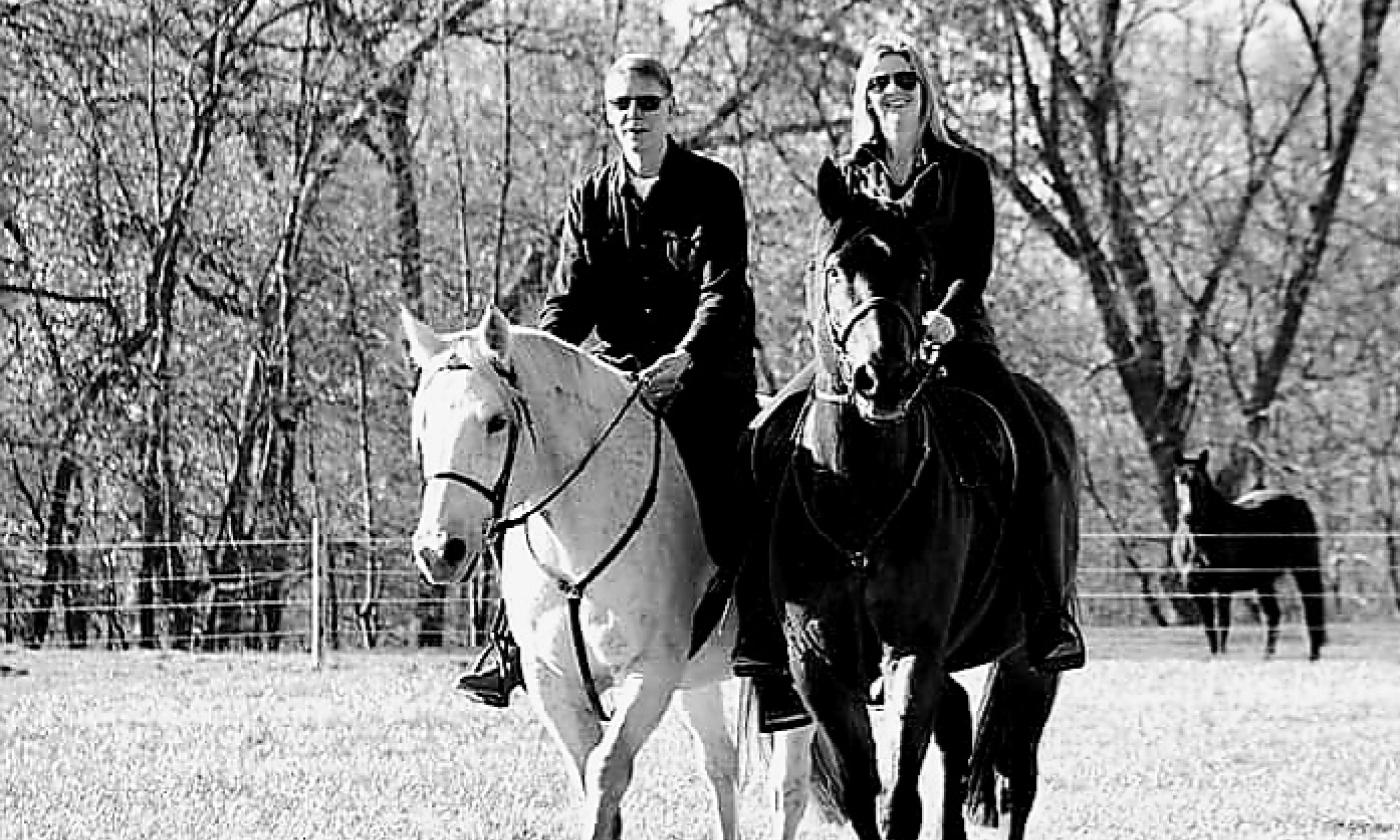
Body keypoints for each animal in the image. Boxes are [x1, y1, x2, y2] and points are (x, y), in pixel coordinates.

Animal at [402, 307, 813, 840]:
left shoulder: (649, 673)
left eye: (495, 422)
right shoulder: (553, 682)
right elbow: (594, 783)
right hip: (698, 682)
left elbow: (606, 772)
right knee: (721, 766)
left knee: (790, 788)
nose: (439, 551)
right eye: (423, 423)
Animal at [754, 158, 1079, 840]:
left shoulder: (914, 652)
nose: (885, 378)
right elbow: (863, 795)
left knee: (1020, 775)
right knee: (958, 727)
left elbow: (901, 801)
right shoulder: (820, 668)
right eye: (835, 269)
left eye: (921, 271)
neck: (861, 493)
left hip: (1030, 661)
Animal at [1170, 450, 1326, 660]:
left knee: (1311, 606)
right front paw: (1214, 656)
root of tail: (1298, 501)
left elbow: (1223, 625)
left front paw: (1222, 657)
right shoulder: (1197, 588)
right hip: (1264, 580)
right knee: (1273, 615)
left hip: (1304, 567)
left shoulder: (1222, 588)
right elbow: (1209, 628)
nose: (1189, 516)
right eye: (1179, 480)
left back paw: (1313, 654)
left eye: (1200, 482)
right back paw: (1267, 657)